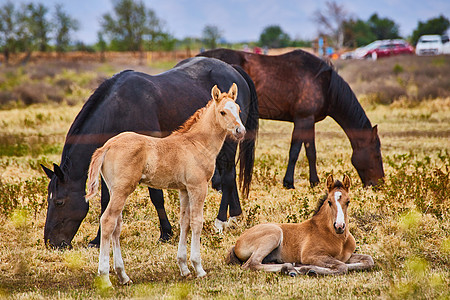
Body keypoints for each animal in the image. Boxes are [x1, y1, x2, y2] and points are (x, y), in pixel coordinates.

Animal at [42, 56, 260, 248]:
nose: (51, 243)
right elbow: (106, 201)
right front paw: (97, 240)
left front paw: (166, 233)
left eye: (59, 202)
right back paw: (235, 215)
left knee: (228, 175)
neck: (120, 107)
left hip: (229, 142)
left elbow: (157, 197)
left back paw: (221, 221)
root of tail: (233, 69)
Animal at [85, 83, 246, 284]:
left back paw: (123, 275)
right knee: (108, 221)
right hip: (122, 190)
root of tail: (107, 146)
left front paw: (184, 267)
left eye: (238, 109)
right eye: (223, 112)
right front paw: (198, 268)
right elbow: (197, 221)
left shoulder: (184, 189)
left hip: (115, 190)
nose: (240, 131)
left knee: (117, 225)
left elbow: (184, 222)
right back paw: (105, 278)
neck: (196, 143)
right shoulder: (198, 187)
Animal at [199, 48, 384, 188]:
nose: (379, 183)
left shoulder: (309, 121)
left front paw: (314, 181)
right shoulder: (302, 119)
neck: (324, 84)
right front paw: (289, 182)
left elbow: (311, 151)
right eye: (376, 155)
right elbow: (295, 151)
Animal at [227, 175, 374, 276]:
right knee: (252, 264)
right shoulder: (311, 255)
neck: (338, 239)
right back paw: (289, 269)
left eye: (348, 201)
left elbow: (367, 260)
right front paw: (307, 269)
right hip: (274, 233)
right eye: (329, 201)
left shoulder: (346, 256)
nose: (339, 226)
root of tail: (237, 242)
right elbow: (342, 266)